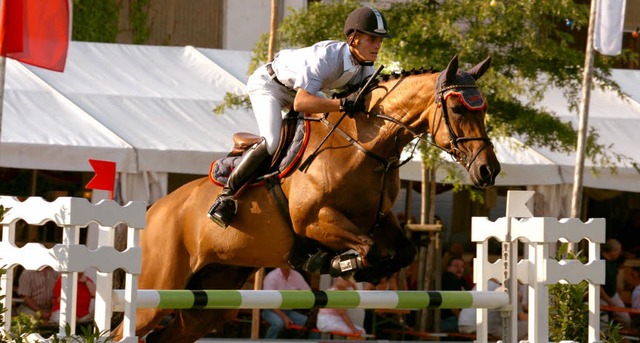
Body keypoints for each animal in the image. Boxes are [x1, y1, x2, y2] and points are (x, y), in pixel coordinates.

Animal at [114, 55, 500, 342]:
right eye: (458, 109)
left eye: (483, 110)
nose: (488, 171)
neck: (366, 145)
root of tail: (152, 211)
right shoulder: (313, 220)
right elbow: (366, 248)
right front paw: (338, 262)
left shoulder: (380, 218)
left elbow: (402, 251)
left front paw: (355, 266)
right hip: (157, 290)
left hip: (211, 296)